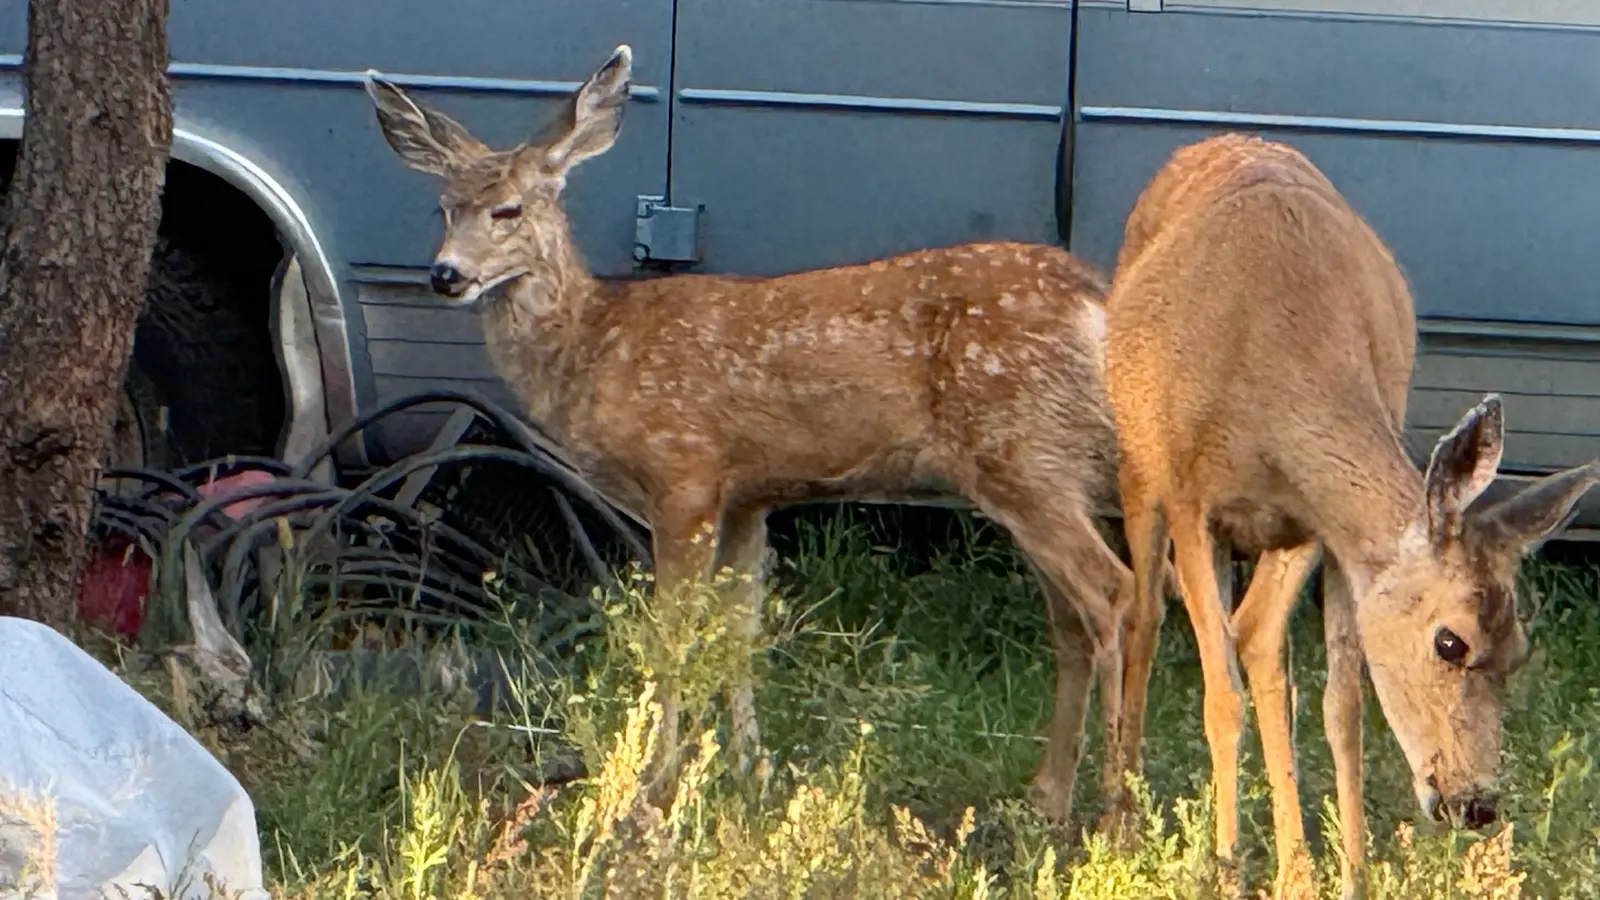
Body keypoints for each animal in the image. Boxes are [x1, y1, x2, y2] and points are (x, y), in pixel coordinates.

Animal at [362, 43, 1148, 822]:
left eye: (509, 209)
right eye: (442, 208)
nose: (445, 274)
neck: (595, 347)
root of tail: (1094, 298)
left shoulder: (683, 473)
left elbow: (676, 634)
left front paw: (657, 785)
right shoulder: (747, 496)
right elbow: (738, 631)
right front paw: (749, 769)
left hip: (1021, 452)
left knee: (1117, 593)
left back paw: (1116, 813)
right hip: (1037, 466)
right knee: (1074, 617)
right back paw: (1047, 798)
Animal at [1102, 132, 1600, 900]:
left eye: (1520, 650)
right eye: (1449, 642)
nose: (1476, 805)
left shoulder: (1329, 532)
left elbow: (1342, 706)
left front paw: (1346, 875)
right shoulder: (1192, 499)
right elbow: (1220, 695)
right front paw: (1224, 869)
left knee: (1258, 638)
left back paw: (1289, 864)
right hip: (1138, 468)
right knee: (1147, 618)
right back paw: (1117, 821)